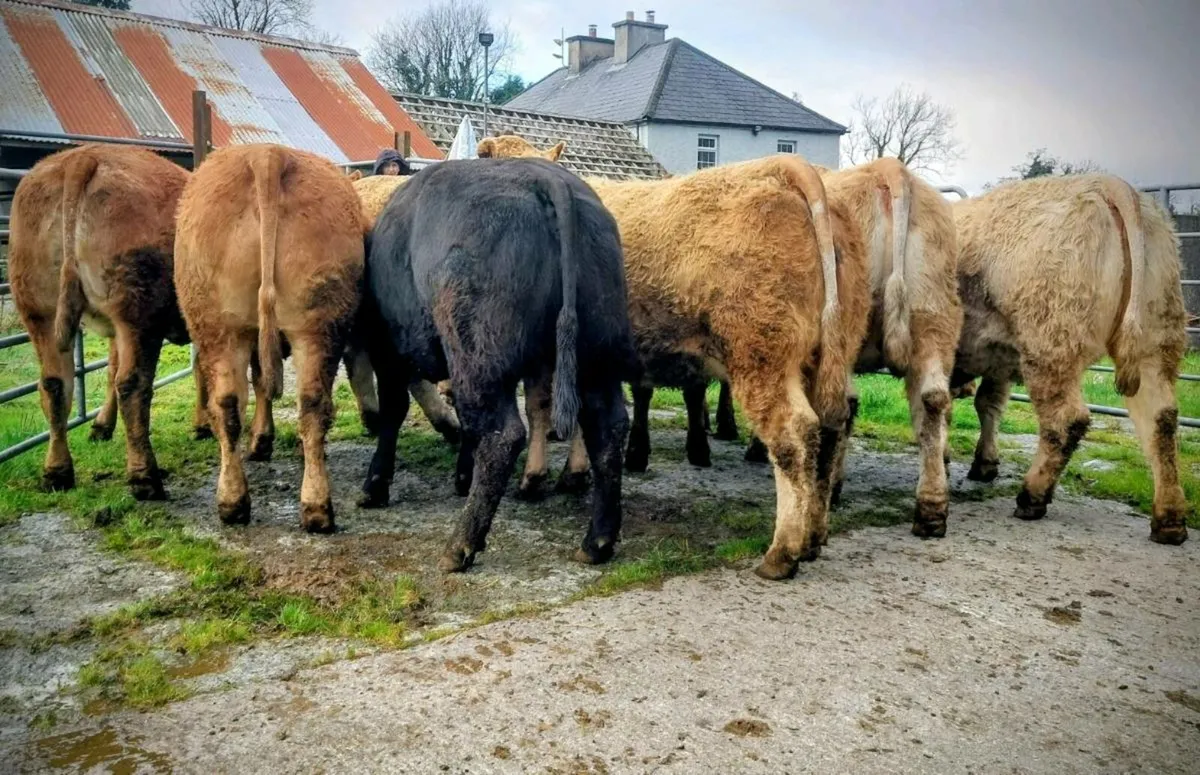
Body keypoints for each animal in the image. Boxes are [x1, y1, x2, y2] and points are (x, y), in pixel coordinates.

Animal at [9, 144, 189, 500]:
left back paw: (57, 472)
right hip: (139, 313)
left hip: (39, 309)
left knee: (55, 385)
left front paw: (102, 425)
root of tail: (83, 157)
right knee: (133, 385)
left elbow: (109, 369)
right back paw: (145, 477)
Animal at [174, 144, 365, 532]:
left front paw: (262, 440)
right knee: (278, 403)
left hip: (251, 327)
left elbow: (262, 380)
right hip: (290, 325)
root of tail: (266, 154)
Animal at [356, 158, 636, 573]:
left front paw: (375, 486)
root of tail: (546, 178)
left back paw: (460, 546)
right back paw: (596, 541)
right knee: (608, 429)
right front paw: (461, 475)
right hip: (596, 359)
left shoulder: (387, 349)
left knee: (503, 436)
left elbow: (394, 413)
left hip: (480, 360)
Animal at [951, 174, 1189, 544]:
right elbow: (988, 404)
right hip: (1156, 338)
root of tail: (1108, 184)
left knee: (1066, 420)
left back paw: (1032, 497)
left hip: (1051, 342)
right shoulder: (996, 357)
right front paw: (984, 464)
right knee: (1160, 419)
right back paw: (1169, 520)